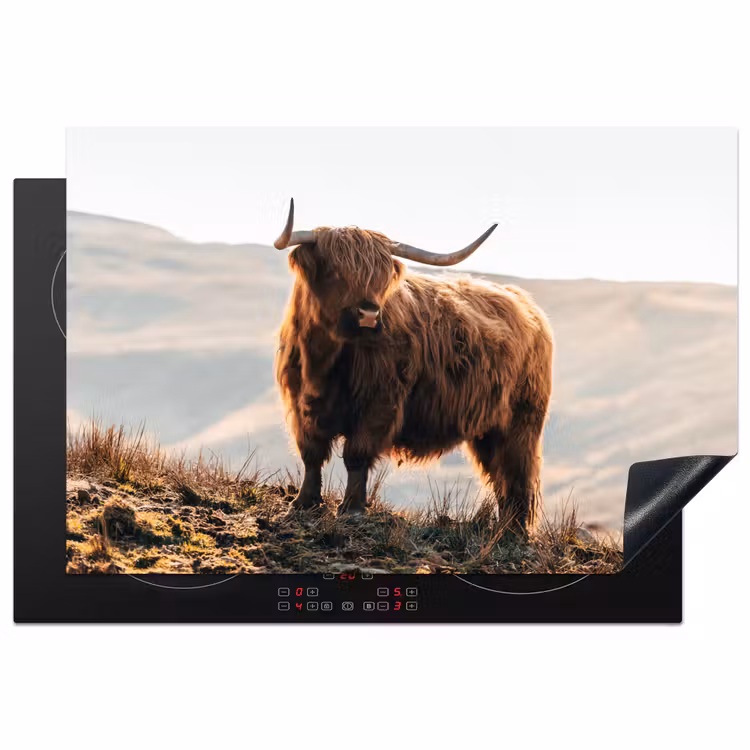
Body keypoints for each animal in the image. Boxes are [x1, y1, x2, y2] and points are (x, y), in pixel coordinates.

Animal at [274, 199, 553, 532]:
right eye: (335, 271)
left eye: (380, 278)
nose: (369, 314)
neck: (323, 360)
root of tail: (527, 305)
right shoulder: (300, 402)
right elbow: (311, 453)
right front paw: (304, 503)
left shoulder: (380, 402)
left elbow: (356, 454)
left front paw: (352, 509)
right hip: (488, 429)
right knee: (500, 475)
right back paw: (503, 529)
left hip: (521, 422)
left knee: (516, 473)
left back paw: (514, 532)